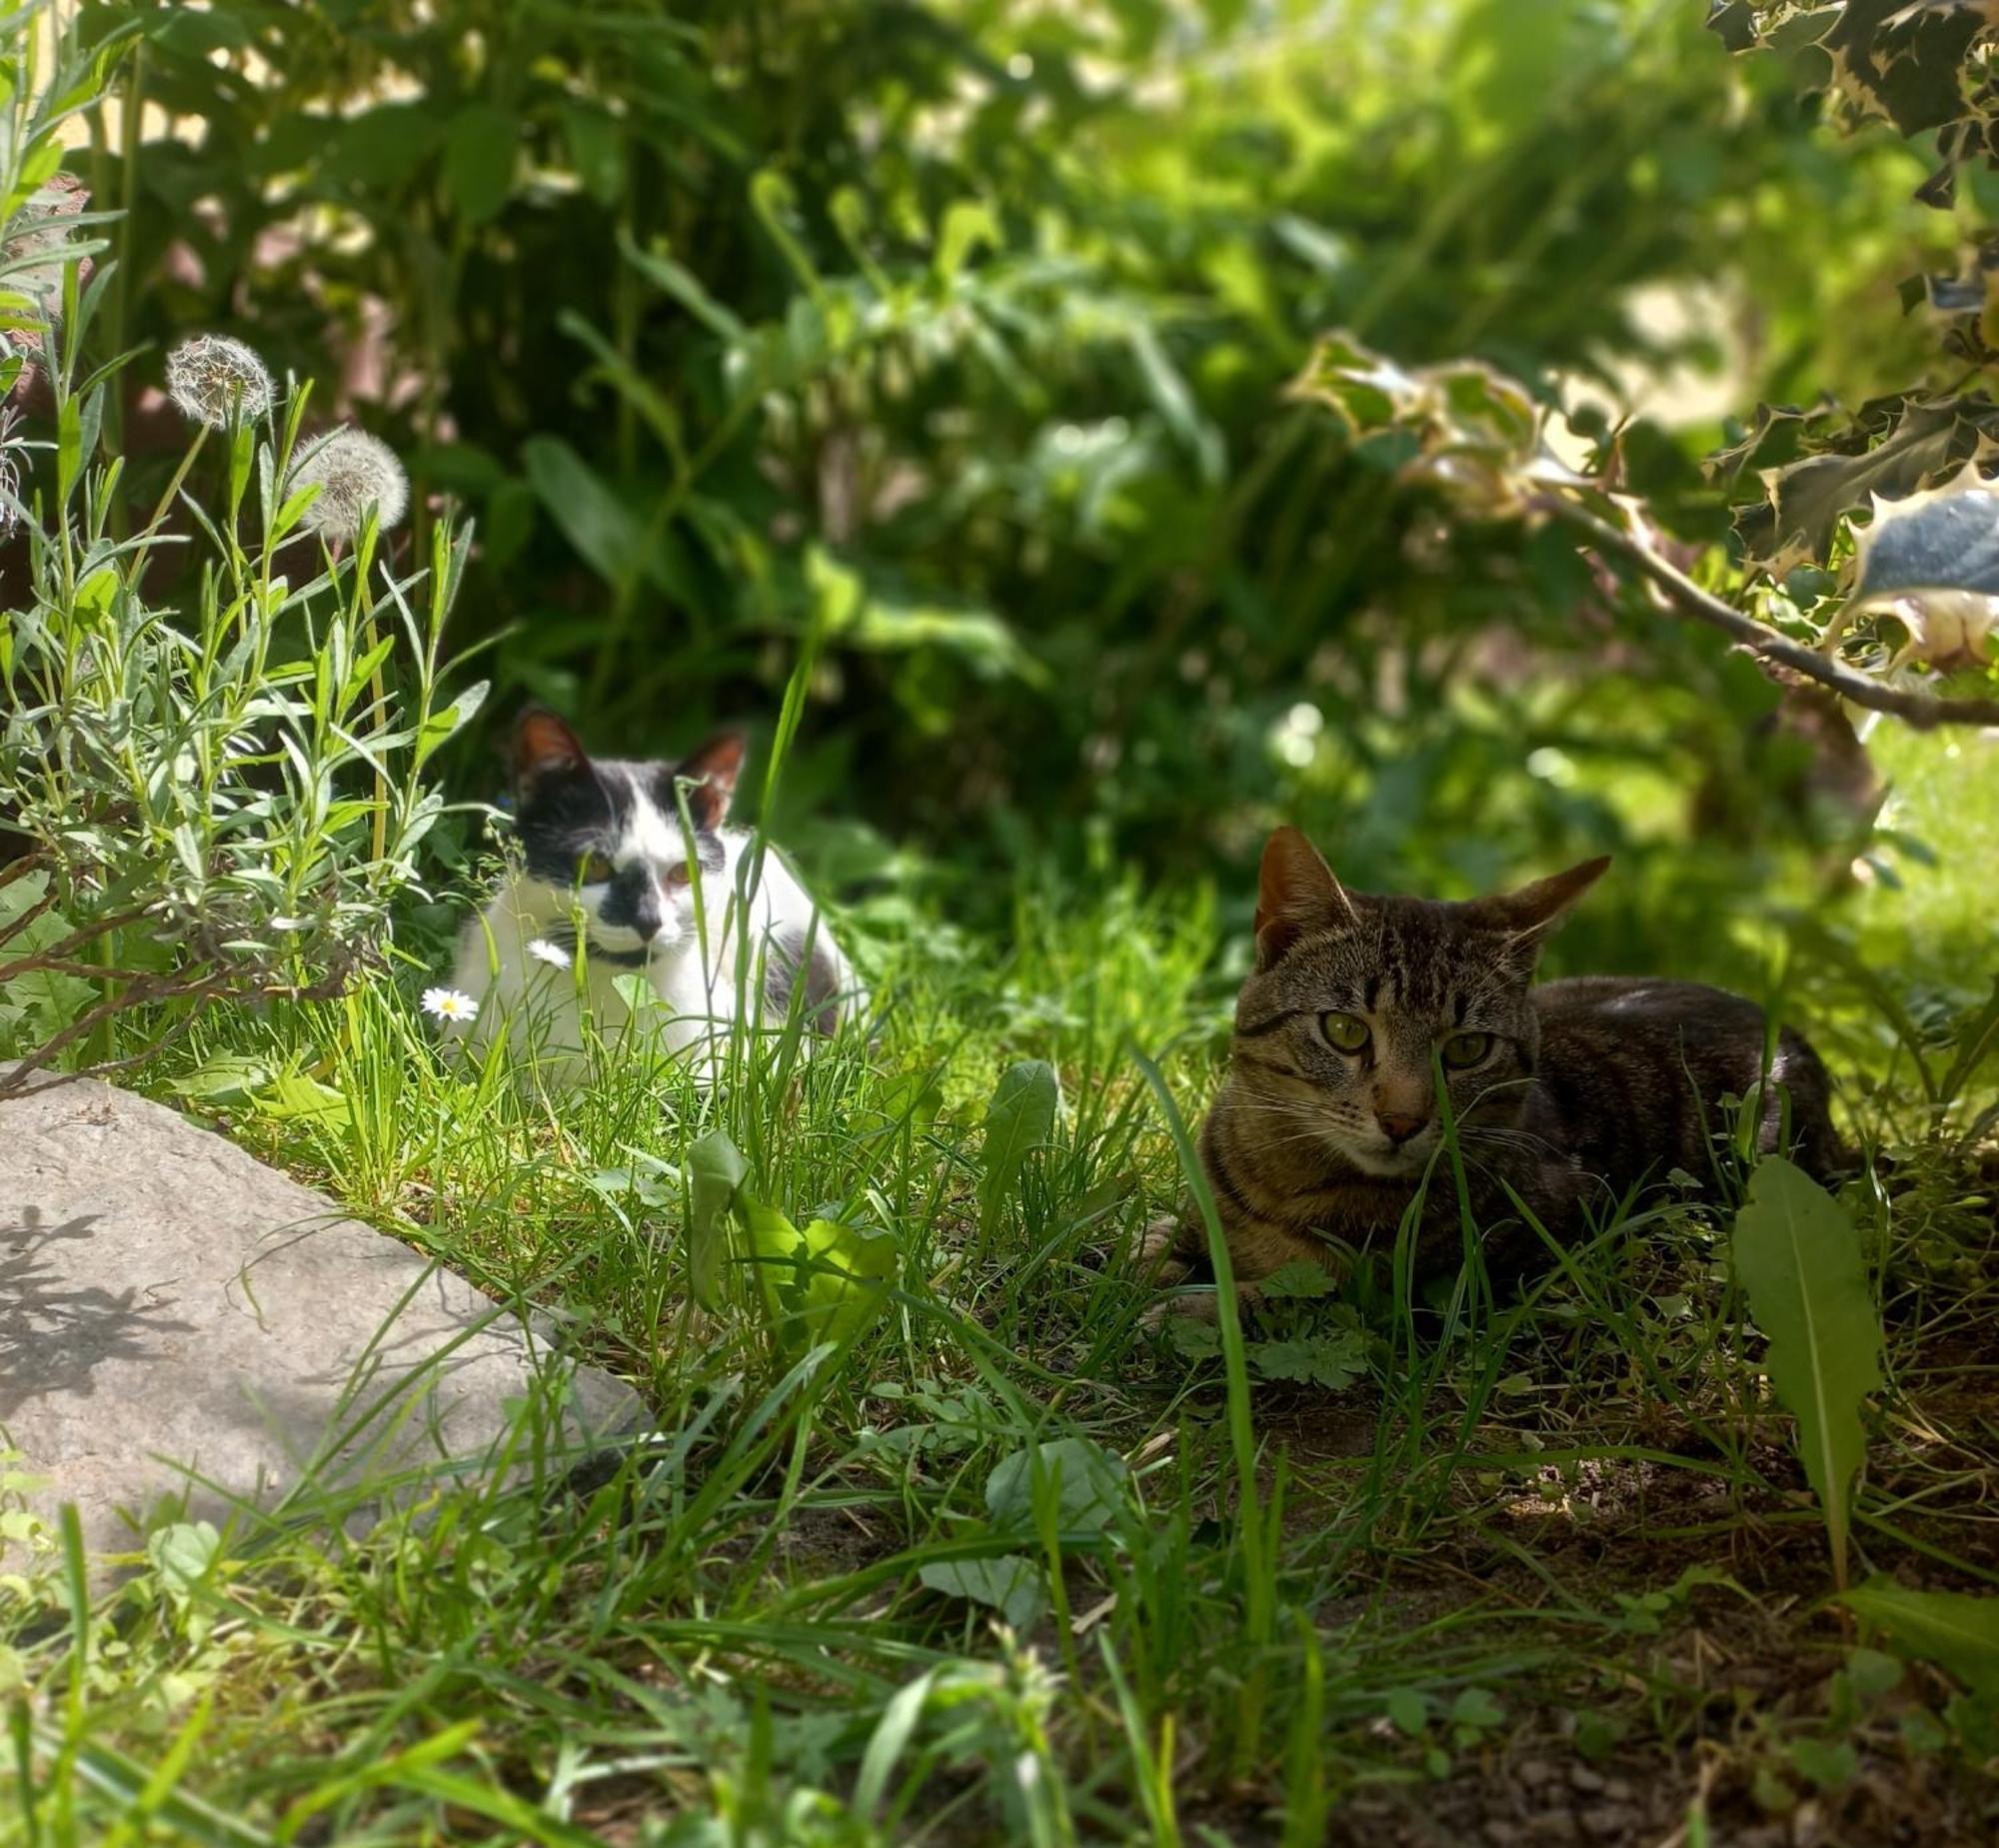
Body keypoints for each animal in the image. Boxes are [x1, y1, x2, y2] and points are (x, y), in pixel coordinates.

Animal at [1159, 824, 1839, 1311]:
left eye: (1466, 1049)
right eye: (1346, 1030)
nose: (1402, 1120)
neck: (1282, 1179)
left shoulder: (1453, 1276)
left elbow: (1303, 1295)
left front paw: (1199, 1308)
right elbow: (1160, 1238)